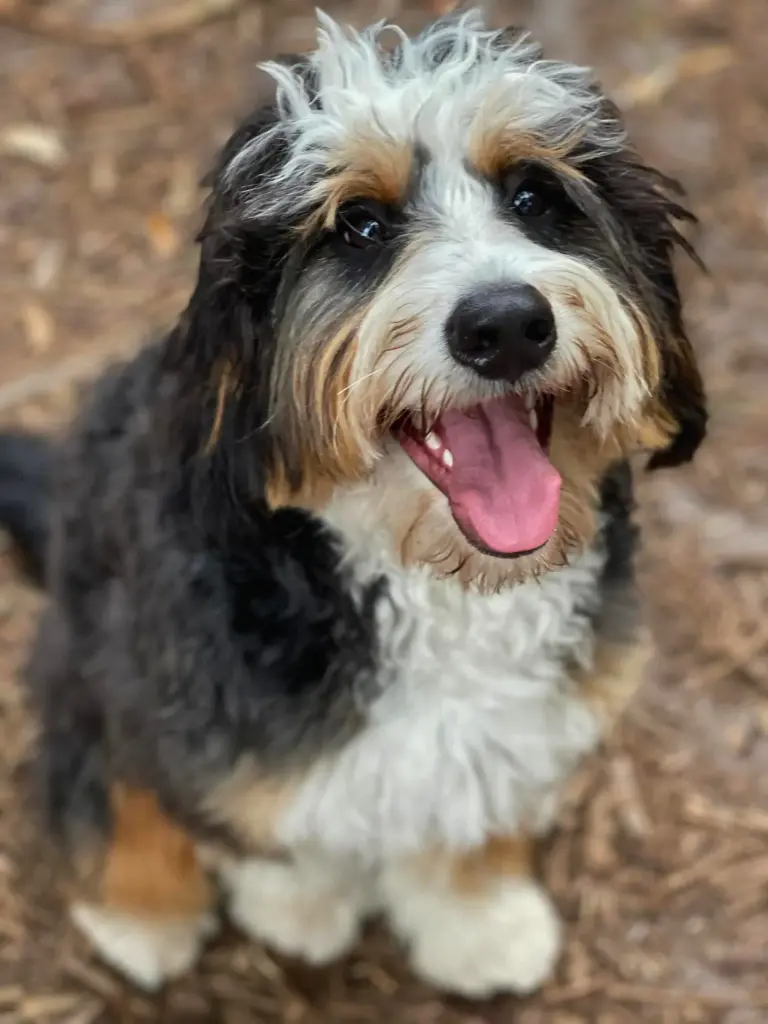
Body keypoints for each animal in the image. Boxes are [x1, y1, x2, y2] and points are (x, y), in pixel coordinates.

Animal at [0, 8, 708, 999]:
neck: (437, 585)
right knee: (102, 780)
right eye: (360, 226)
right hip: (90, 647)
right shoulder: (180, 694)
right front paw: (296, 906)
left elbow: (471, 803)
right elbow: (267, 821)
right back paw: (141, 911)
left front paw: (477, 919)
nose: (505, 324)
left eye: (534, 197)